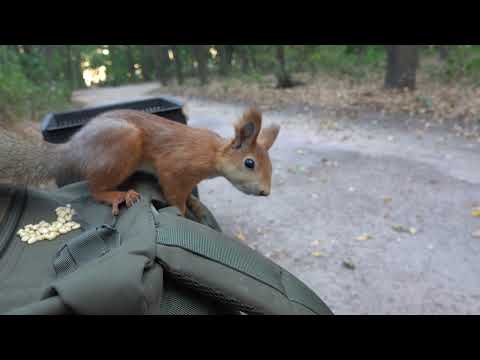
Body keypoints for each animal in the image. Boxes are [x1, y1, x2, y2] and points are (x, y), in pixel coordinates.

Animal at [0, 107, 280, 217]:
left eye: (271, 166)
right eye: (249, 163)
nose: (265, 192)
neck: (212, 153)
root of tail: (74, 148)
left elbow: (188, 192)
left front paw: (194, 203)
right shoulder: (174, 165)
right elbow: (173, 192)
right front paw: (182, 211)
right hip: (123, 144)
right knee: (94, 188)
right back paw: (116, 195)